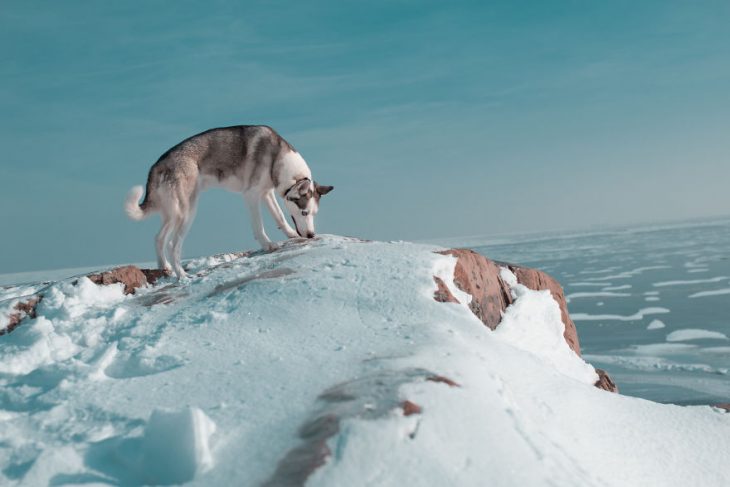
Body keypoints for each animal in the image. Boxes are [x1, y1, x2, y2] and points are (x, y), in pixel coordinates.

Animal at [123, 126, 332, 278]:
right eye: (304, 212)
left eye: (313, 214)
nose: (312, 235)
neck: (277, 158)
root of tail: (157, 164)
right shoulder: (251, 195)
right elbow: (259, 226)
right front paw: (268, 245)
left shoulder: (266, 193)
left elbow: (279, 216)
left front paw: (291, 235)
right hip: (187, 212)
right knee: (173, 244)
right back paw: (182, 276)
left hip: (172, 214)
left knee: (159, 238)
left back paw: (164, 267)